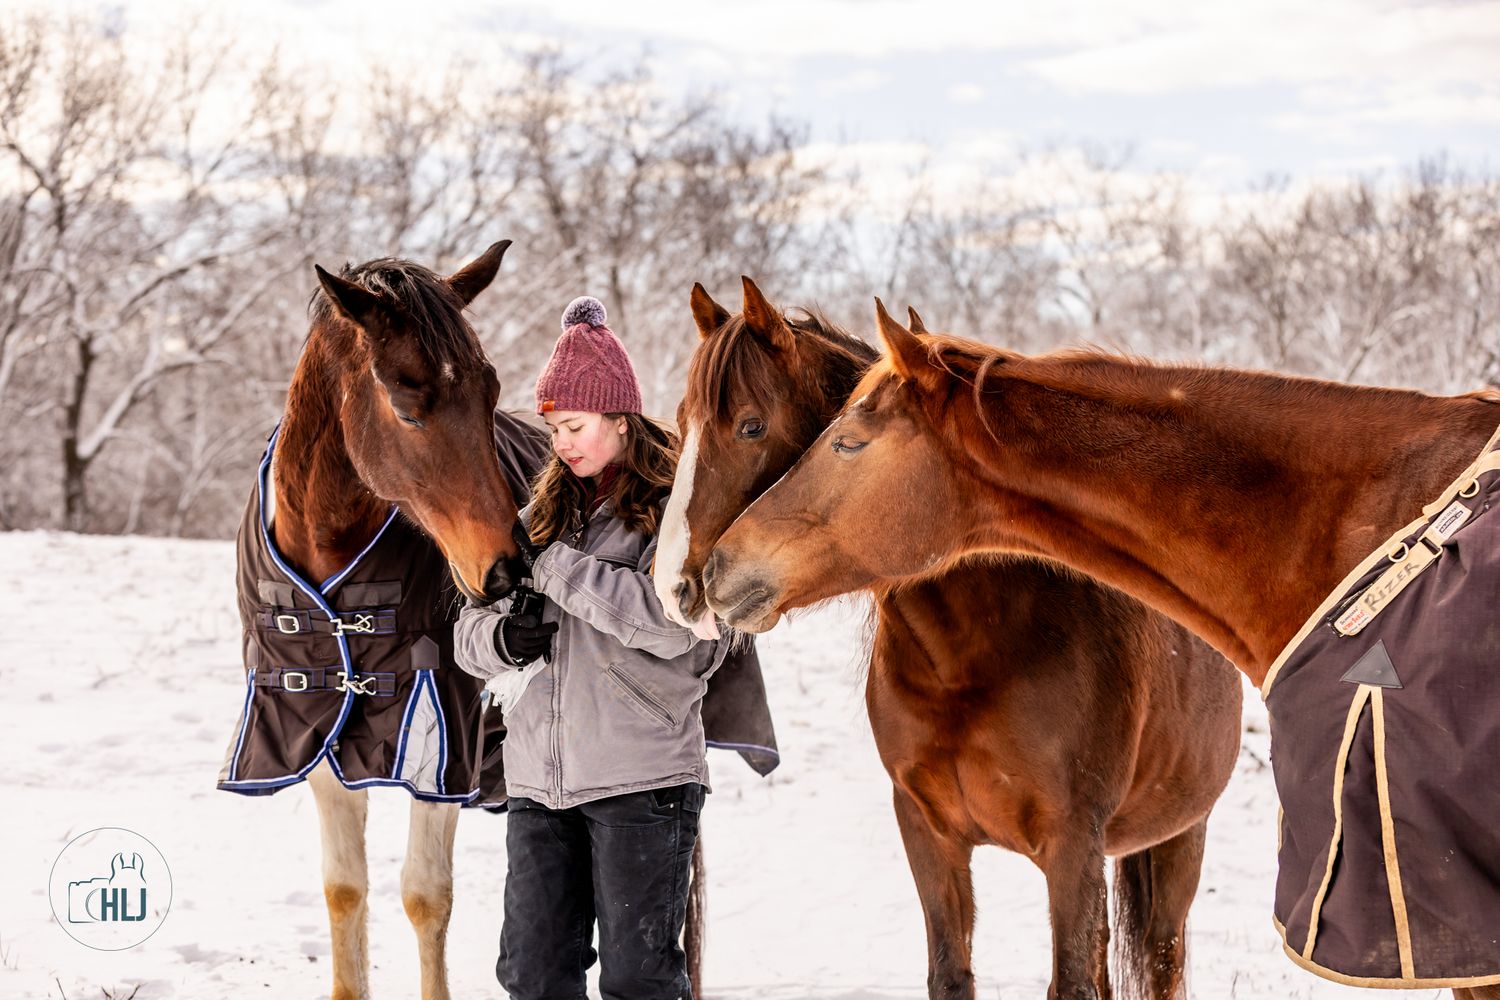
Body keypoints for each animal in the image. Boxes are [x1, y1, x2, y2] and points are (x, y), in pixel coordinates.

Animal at [654, 278, 1241, 999]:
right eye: (681, 425)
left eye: (751, 425)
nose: (683, 585)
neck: (972, 653)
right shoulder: (927, 832)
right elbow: (950, 972)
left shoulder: (1073, 848)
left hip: (1181, 839)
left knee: (1161, 959)